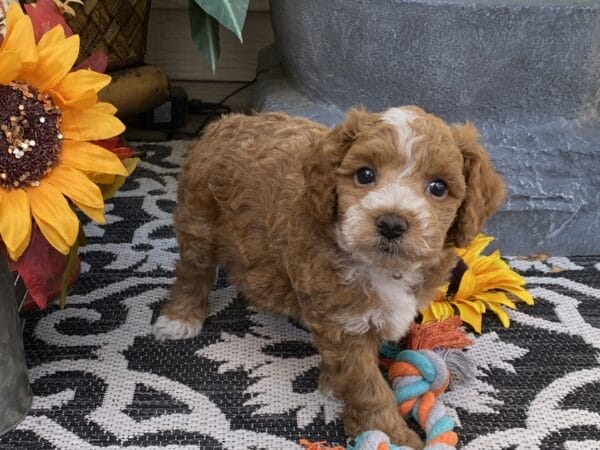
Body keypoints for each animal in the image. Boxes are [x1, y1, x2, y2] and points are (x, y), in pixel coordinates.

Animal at [152, 105, 504, 446]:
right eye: (365, 175)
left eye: (438, 188)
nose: (391, 223)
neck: (380, 268)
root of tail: (226, 121)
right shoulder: (344, 321)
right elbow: (367, 386)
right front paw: (392, 435)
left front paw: (334, 382)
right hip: (199, 219)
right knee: (192, 271)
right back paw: (181, 318)